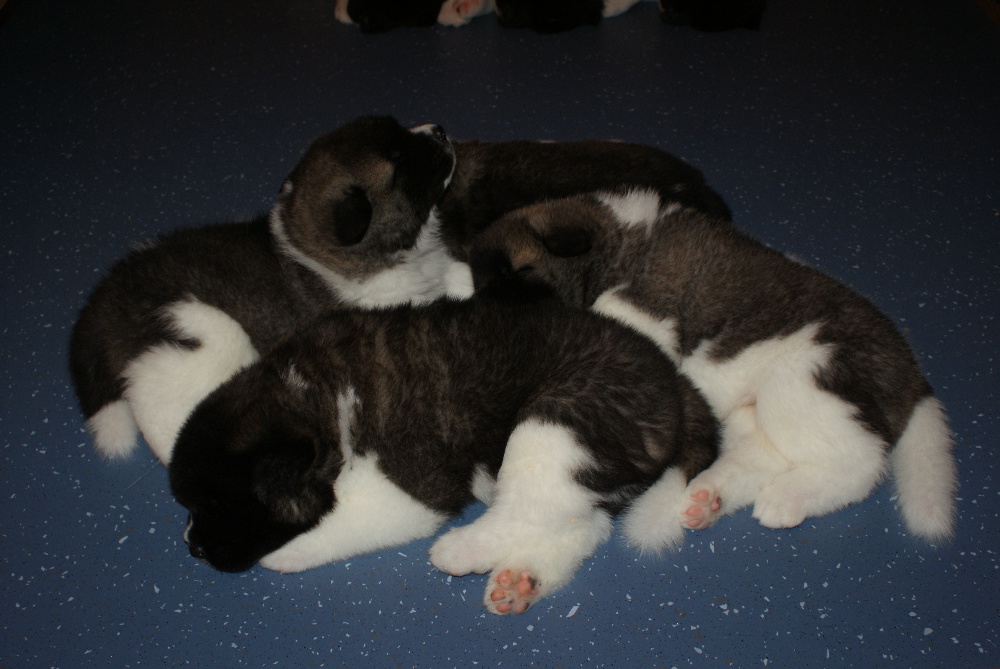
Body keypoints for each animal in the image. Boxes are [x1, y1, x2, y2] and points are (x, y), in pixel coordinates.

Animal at [169, 281, 719, 615]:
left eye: (219, 504)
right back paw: (521, 580)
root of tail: (676, 386)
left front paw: (289, 552)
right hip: (586, 457)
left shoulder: (415, 485)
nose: (192, 547)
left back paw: (462, 550)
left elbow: (348, 519)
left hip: (560, 419)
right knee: (579, 523)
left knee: (524, 509)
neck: (316, 396)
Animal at [466, 190, 958, 542]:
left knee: (860, 463)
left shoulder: (648, 305)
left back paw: (788, 498)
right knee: (763, 453)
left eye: (513, 274)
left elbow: (617, 313)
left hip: (805, 382)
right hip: (752, 409)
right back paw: (709, 498)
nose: (483, 313)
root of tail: (911, 372)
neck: (621, 247)